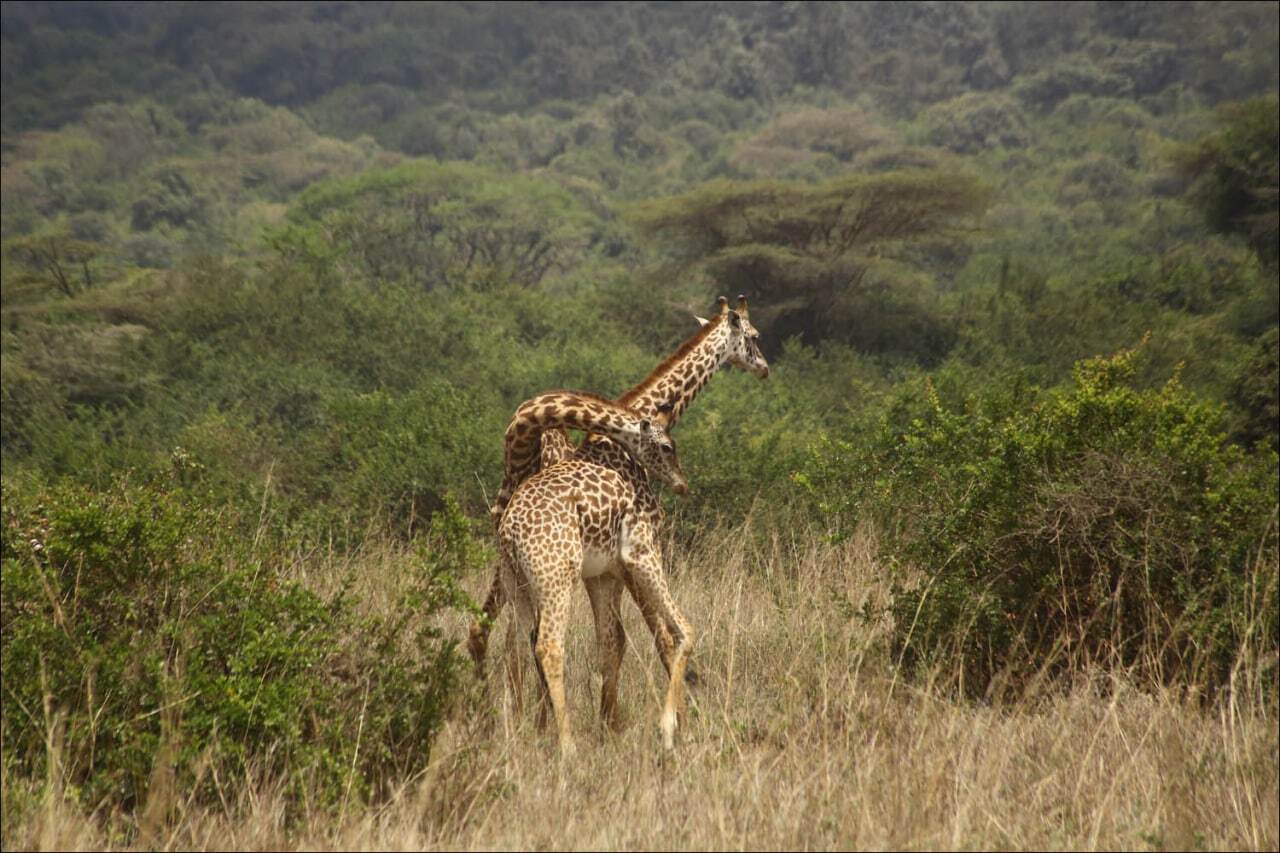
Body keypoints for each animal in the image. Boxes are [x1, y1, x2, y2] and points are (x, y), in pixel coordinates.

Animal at [473, 292, 762, 742]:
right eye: (754, 336)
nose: (764, 367)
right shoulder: (635, 556)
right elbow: (663, 636)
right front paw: (672, 722)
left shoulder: (605, 572)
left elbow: (614, 641)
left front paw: (613, 722)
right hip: (552, 576)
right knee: (533, 640)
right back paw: (550, 732)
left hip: (517, 575)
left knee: (499, 637)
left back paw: (512, 724)